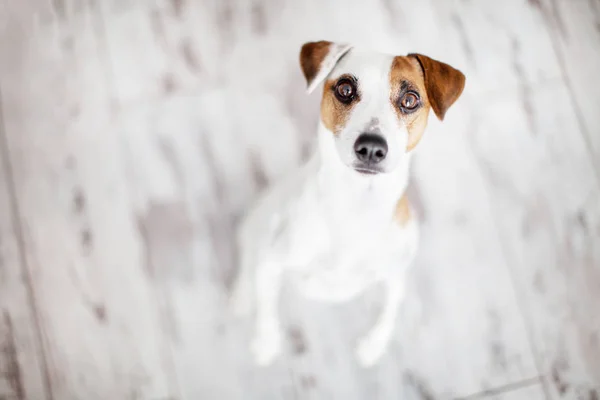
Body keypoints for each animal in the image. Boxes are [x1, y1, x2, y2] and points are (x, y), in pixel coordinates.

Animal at [232, 39, 466, 366]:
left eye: (410, 99)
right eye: (345, 89)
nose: (371, 147)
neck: (356, 205)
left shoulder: (396, 274)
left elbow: (389, 310)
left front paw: (372, 346)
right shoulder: (272, 262)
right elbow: (267, 309)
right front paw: (266, 343)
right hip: (257, 224)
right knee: (248, 257)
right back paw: (241, 296)